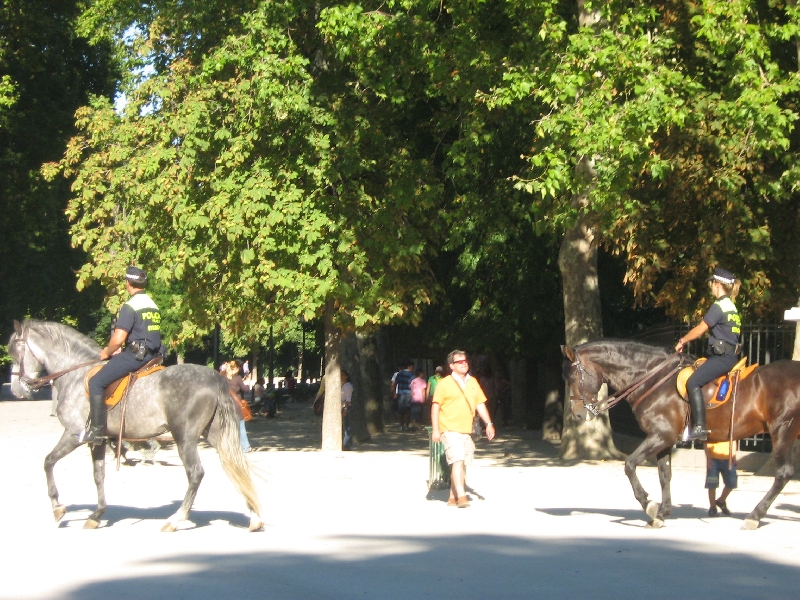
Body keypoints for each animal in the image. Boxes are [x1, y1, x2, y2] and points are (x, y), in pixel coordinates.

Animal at [7, 322, 264, 532]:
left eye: (14, 352)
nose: (17, 390)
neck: (76, 374)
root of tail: (215, 378)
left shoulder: (73, 434)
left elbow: (48, 462)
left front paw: (57, 508)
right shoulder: (97, 440)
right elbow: (98, 475)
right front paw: (97, 514)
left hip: (184, 437)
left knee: (195, 473)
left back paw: (176, 519)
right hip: (213, 433)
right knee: (235, 464)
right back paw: (254, 517)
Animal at [560, 340, 800, 528]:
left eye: (571, 377)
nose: (577, 414)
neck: (653, 379)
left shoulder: (660, 436)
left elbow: (629, 465)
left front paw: (648, 505)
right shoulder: (664, 440)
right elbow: (664, 475)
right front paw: (662, 512)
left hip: (783, 430)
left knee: (784, 473)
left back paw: (755, 516)